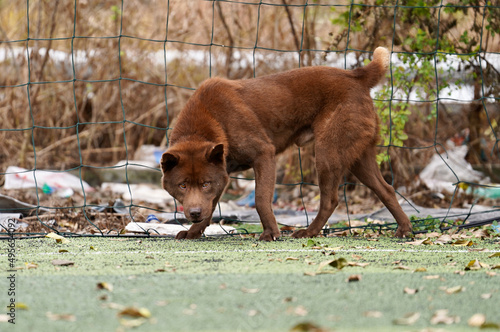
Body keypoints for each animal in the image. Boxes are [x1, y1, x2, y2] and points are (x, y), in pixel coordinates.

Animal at [161, 46, 414, 240]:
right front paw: (194, 232)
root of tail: (357, 76)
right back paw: (404, 229)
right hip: (358, 156)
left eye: (204, 183)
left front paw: (271, 234)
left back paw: (308, 232)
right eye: (182, 186)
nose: (193, 212)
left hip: (328, 153)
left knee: (330, 200)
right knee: (386, 190)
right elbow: (212, 205)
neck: (210, 120)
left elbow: (261, 199)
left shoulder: (264, 155)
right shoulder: (222, 171)